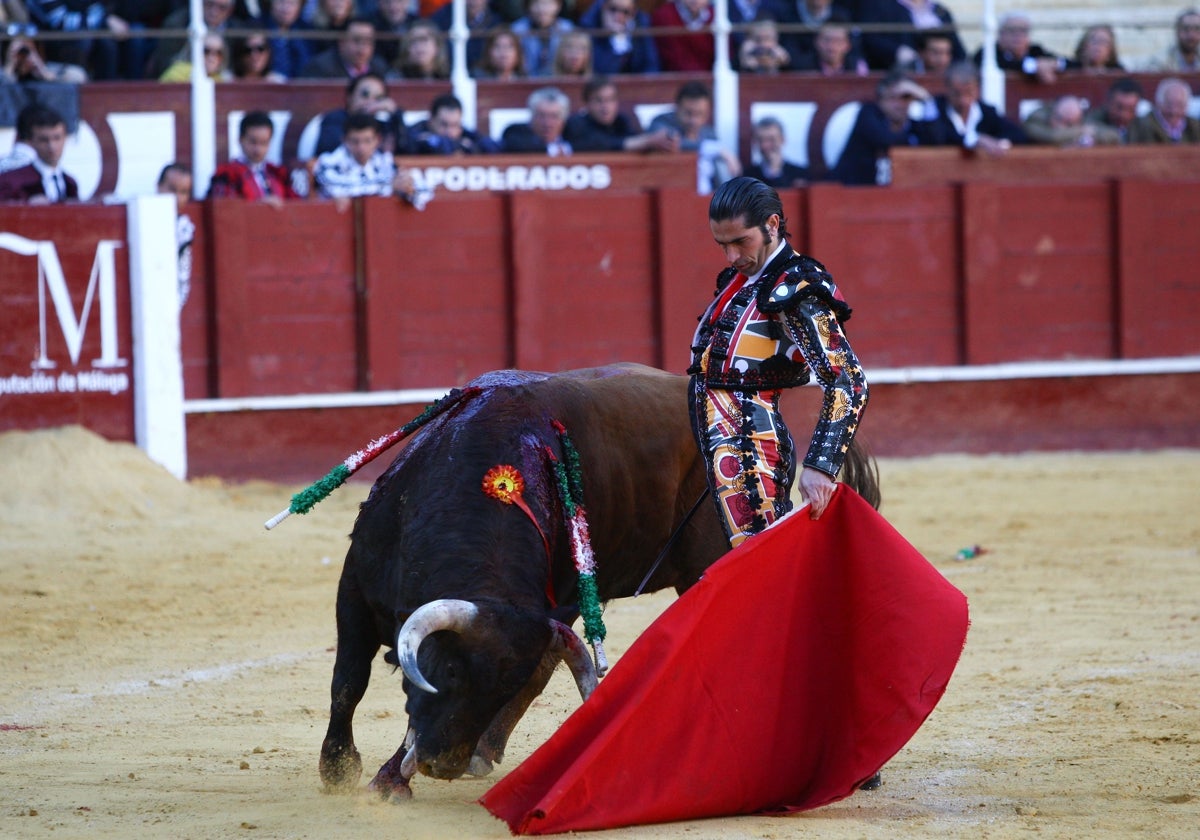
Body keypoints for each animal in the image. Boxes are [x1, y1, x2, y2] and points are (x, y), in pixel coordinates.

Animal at [319, 362, 883, 801]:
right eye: (453, 672)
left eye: (499, 689)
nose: (443, 765)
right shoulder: (354, 591)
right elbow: (348, 680)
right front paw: (339, 770)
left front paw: (386, 778)